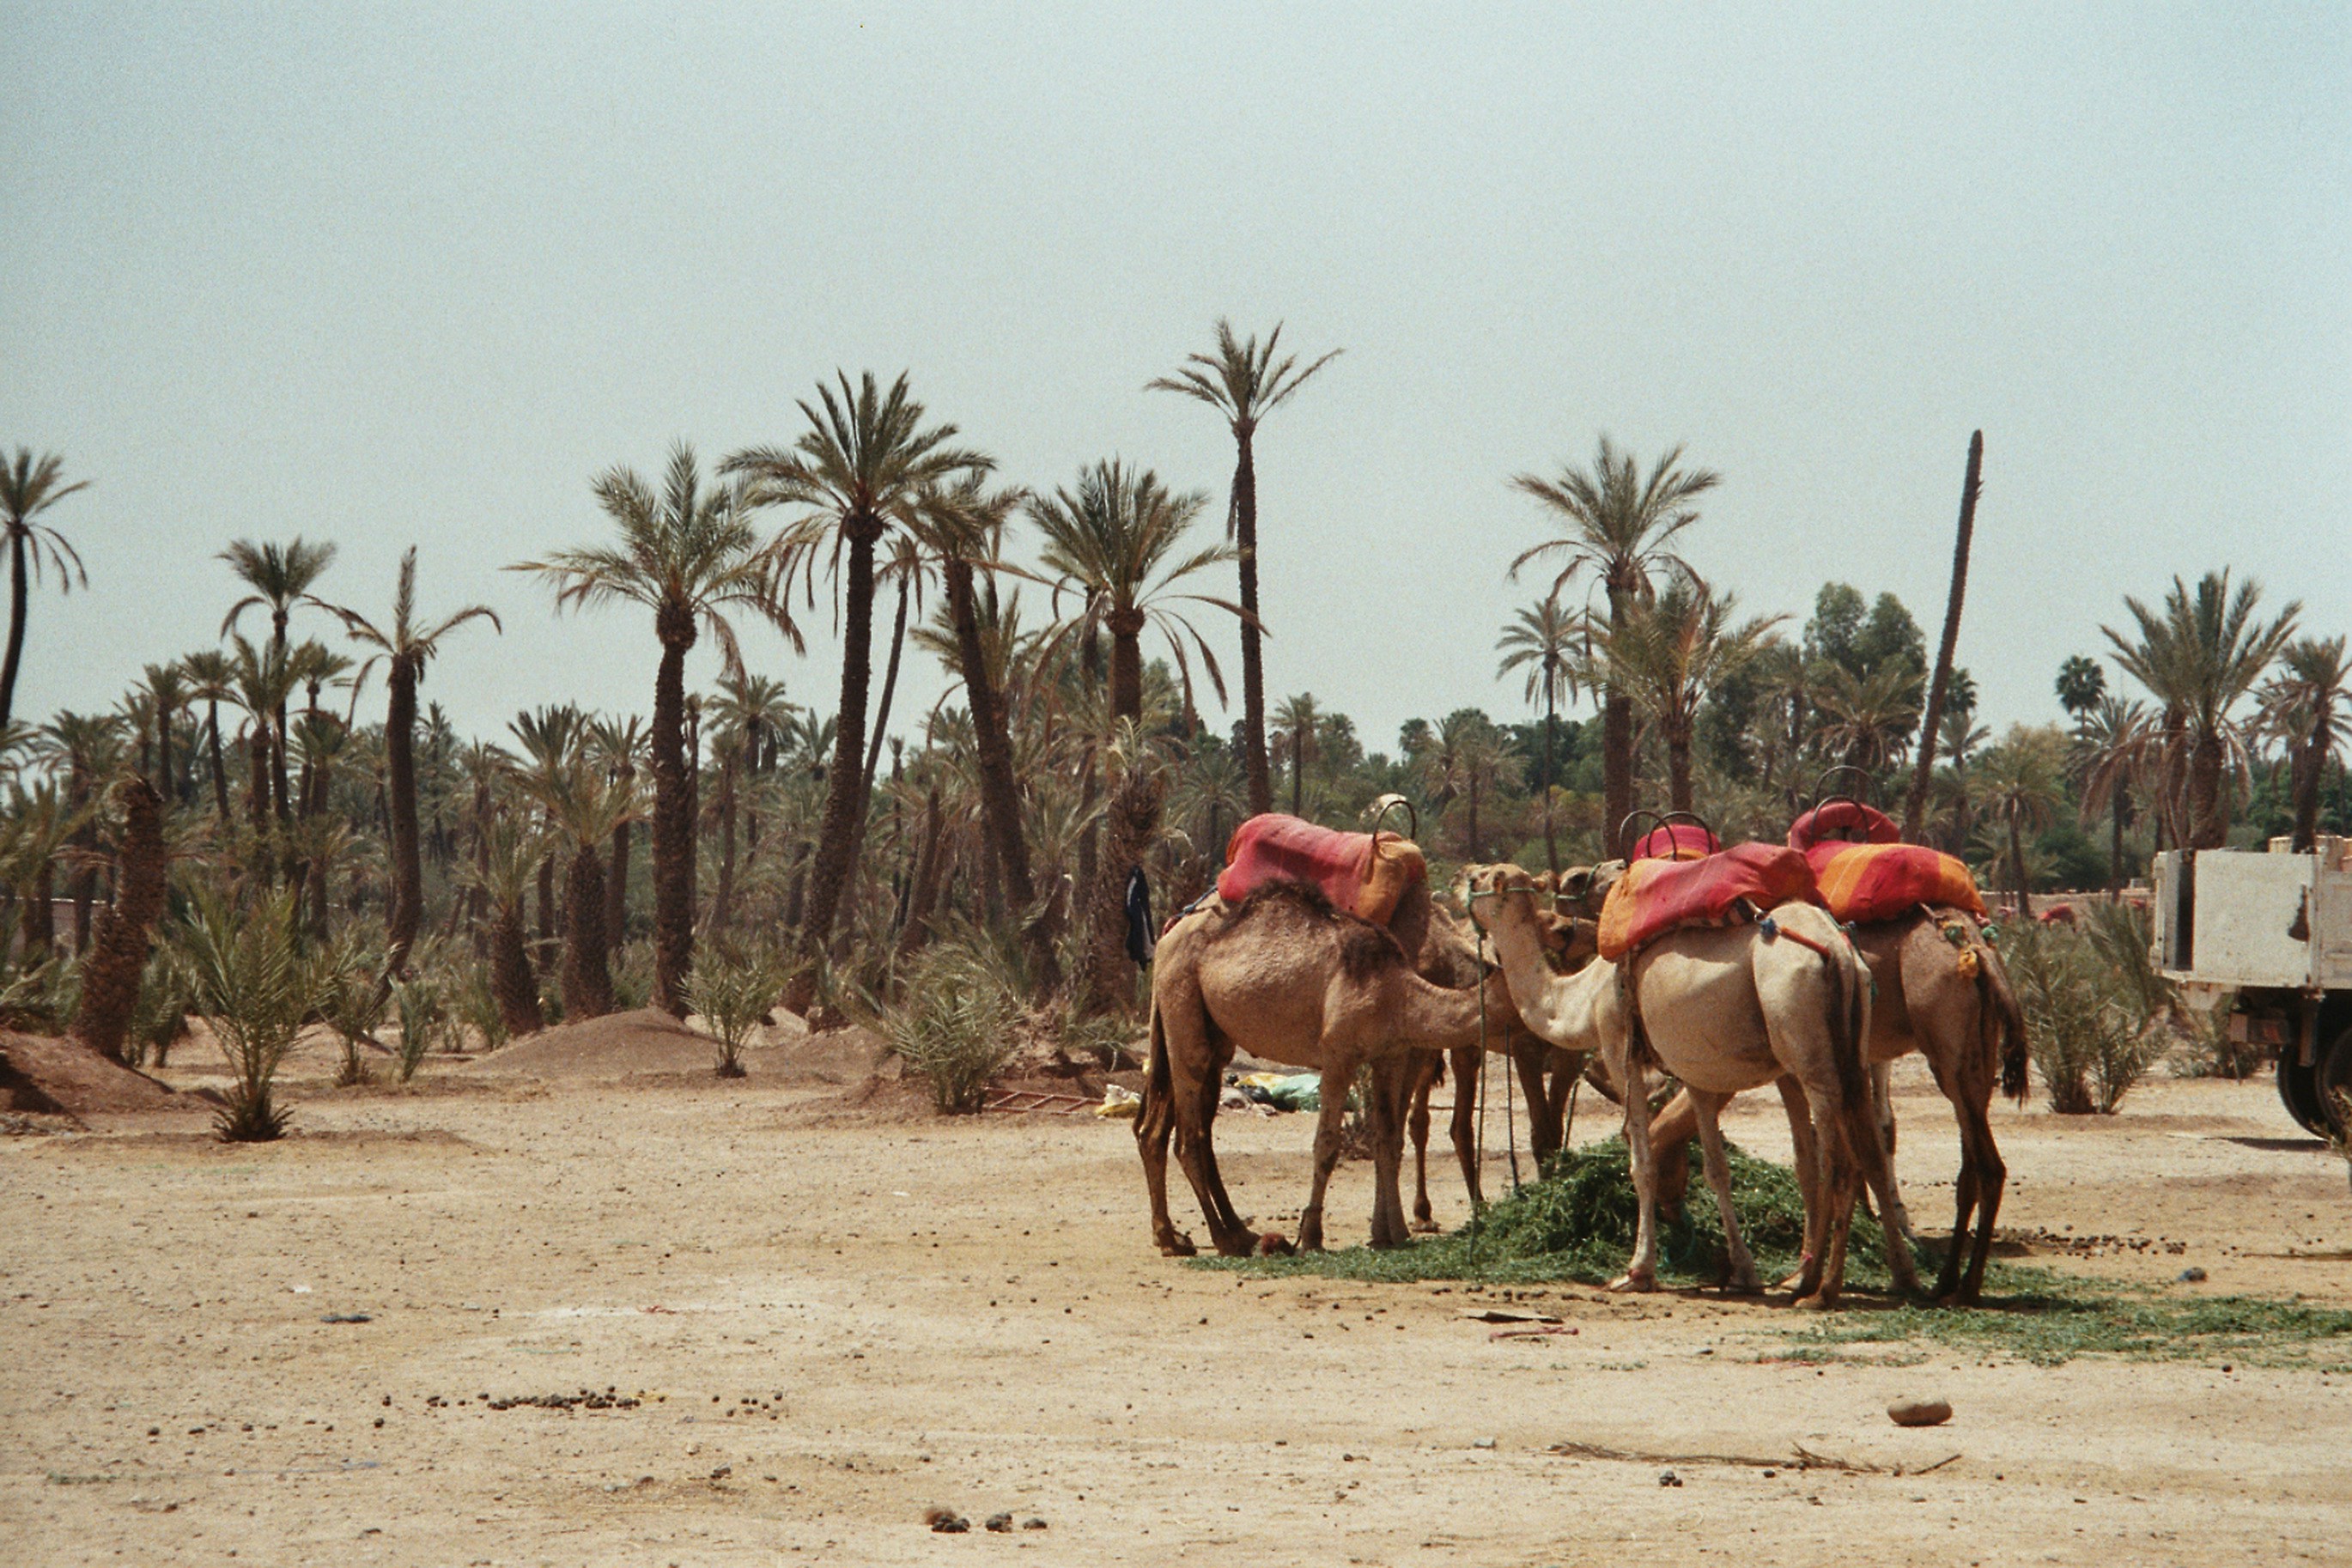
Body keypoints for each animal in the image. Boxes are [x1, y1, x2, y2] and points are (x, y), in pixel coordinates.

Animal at [1136, 879, 1517, 1257]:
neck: (1399, 990)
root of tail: (1168, 936)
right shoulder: (1338, 1056)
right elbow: (1328, 1143)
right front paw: (1313, 1235)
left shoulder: (1390, 1055)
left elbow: (1386, 1137)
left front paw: (1393, 1232)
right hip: (1181, 1001)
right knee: (1188, 1136)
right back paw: (1221, 1238)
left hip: (1210, 1031)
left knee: (1165, 1130)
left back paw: (1201, 1235)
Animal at [1466, 864, 1915, 1307]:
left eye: (1482, 879)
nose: (1459, 879)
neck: (1583, 998)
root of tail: (1837, 952)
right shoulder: (1695, 1071)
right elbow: (1717, 1169)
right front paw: (1743, 1271)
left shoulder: (1618, 1046)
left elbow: (1642, 1162)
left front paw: (1637, 1270)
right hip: (1850, 1043)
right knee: (1865, 1148)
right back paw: (1898, 1277)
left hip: (1804, 1042)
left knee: (1836, 1161)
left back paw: (1817, 1288)